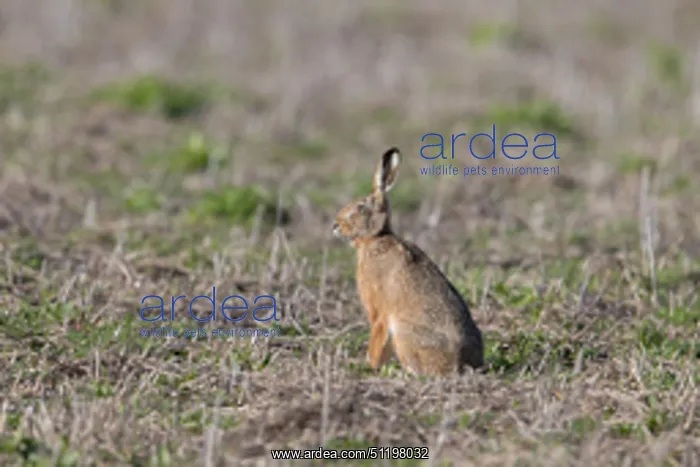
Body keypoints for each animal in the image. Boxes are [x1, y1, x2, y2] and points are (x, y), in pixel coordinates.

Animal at [332, 147, 484, 376]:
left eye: (360, 207)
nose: (335, 225)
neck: (376, 237)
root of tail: (461, 364)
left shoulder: (379, 312)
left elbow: (377, 338)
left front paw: (369, 365)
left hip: (403, 333)